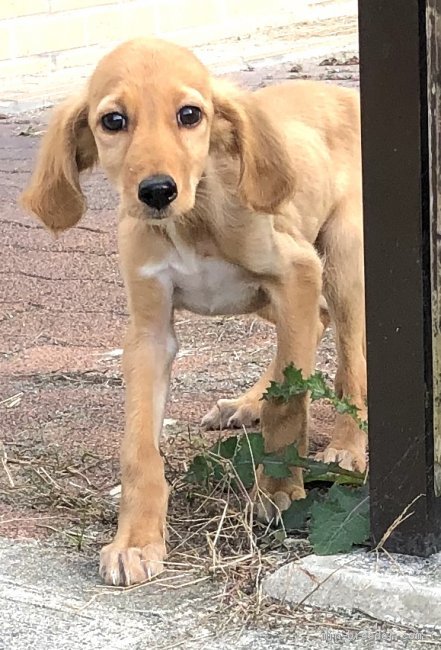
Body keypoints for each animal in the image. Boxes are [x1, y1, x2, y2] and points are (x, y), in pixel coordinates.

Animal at [20, 38, 364, 584]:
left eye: (189, 114)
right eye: (113, 120)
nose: (157, 191)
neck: (191, 220)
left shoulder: (298, 272)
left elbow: (291, 403)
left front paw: (280, 490)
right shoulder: (149, 332)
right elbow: (139, 447)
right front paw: (136, 540)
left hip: (343, 259)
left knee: (351, 359)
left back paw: (348, 447)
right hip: (268, 299)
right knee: (318, 325)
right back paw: (248, 401)